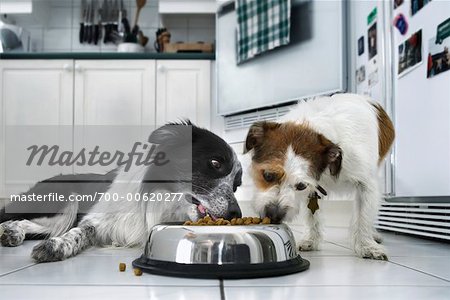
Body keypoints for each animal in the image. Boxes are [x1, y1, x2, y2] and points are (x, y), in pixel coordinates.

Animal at [0, 122, 243, 262]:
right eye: (215, 163)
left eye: (237, 185)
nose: (236, 214)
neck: (161, 197)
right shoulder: (95, 219)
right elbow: (77, 233)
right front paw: (57, 245)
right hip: (63, 200)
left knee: (29, 223)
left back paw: (12, 232)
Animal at [244, 94, 396, 260]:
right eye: (268, 175)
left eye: (300, 185)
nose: (274, 215)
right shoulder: (312, 189)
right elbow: (312, 216)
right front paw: (310, 240)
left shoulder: (366, 184)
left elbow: (364, 215)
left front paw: (366, 246)